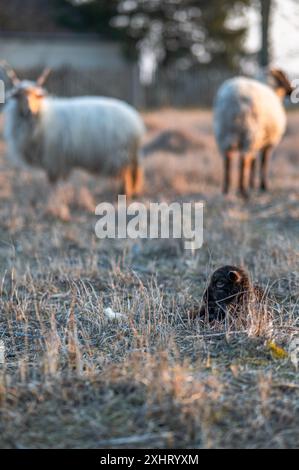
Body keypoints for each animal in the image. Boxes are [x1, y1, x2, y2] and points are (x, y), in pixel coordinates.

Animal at [1, 64, 145, 198]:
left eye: (37, 96)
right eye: (19, 96)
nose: (29, 111)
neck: (43, 118)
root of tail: (136, 121)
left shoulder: (54, 160)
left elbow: (53, 182)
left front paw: (53, 196)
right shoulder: (59, 161)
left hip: (121, 154)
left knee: (126, 175)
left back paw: (124, 193)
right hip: (127, 155)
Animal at [214, 68, 294, 196]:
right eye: (283, 76)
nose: (291, 90)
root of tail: (233, 100)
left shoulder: (259, 141)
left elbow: (254, 162)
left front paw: (252, 184)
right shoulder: (268, 143)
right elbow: (263, 163)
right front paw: (263, 186)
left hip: (224, 134)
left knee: (228, 160)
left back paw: (226, 190)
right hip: (250, 132)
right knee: (243, 160)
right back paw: (243, 191)